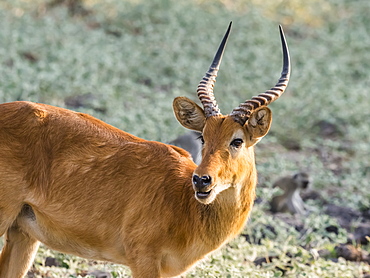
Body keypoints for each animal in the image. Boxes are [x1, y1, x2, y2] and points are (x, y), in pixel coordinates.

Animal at [0, 22, 290, 276]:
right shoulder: (143, 259)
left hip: (23, 234)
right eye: (203, 137)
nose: (201, 180)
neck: (183, 202)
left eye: (237, 140)